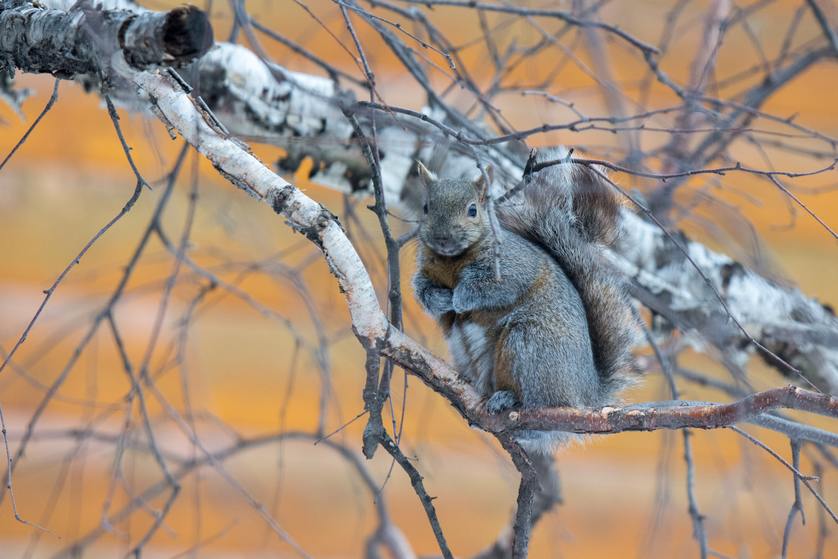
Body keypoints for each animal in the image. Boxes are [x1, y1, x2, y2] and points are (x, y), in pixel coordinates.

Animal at [412, 148, 636, 456]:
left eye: (473, 210)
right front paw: (440, 299)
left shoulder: (513, 268)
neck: (452, 261)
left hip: (528, 345)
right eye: (425, 207)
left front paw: (459, 297)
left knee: (538, 409)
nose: (442, 238)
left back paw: (509, 400)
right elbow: (422, 292)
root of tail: (585, 394)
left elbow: (492, 288)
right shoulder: (425, 273)